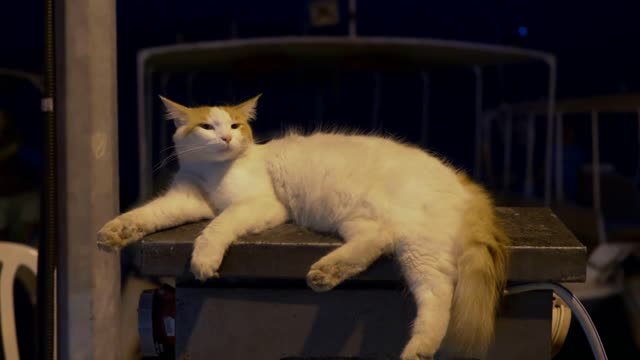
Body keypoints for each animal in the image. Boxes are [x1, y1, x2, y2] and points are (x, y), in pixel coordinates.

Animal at [97, 94, 510, 358]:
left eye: (235, 124)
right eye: (206, 127)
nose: (227, 137)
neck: (213, 173)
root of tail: (463, 181)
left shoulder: (260, 206)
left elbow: (217, 227)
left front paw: (204, 259)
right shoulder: (184, 201)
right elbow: (145, 215)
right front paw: (113, 234)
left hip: (418, 246)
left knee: (438, 296)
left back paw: (417, 350)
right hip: (364, 224)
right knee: (379, 244)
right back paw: (326, 273)